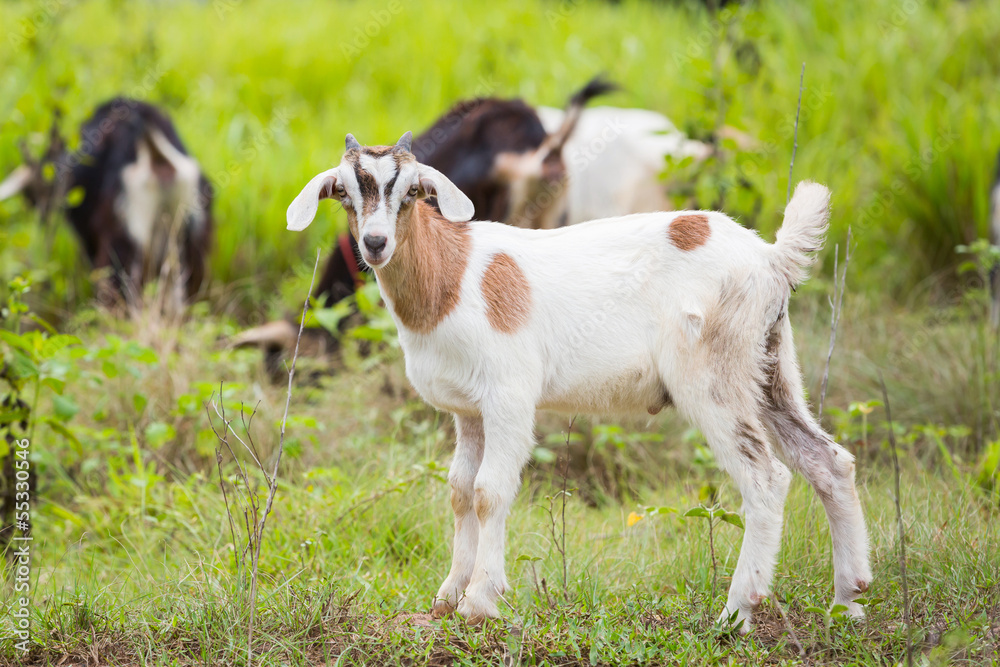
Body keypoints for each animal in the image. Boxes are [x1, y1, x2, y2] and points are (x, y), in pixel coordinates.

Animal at [285, 133, 873, 632]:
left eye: (410, 191)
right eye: (344, 192)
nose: (375, 243)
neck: (451, 277)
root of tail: (771, 259)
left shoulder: (509, 396)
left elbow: (489, 491)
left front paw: (481, 600)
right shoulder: (467, 411)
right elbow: (458, 491)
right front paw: (448, 596)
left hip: (714, 374)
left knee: (765, 478)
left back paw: (737, 612)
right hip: (770, 366)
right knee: (828, 461)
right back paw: (847, 600)